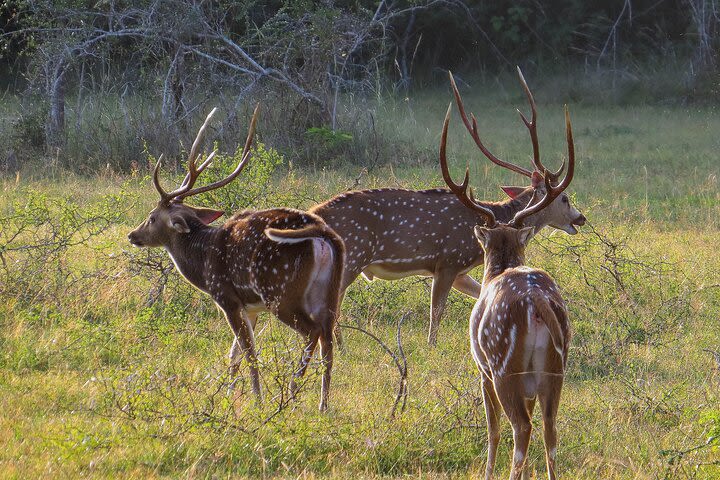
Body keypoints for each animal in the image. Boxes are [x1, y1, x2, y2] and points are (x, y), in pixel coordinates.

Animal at [126, 107, 344, 410]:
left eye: (151, 217)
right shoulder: (250, 307)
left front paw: (256, 399)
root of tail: (324, 235)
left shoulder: (226, 297)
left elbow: (248, 351)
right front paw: (229, 394)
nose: (132, 235)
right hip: (329, 292)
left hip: (281, 291)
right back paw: (323, 405)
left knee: (312, 332)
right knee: (328, 339)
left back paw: (290, 392)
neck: (202, 259)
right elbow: (235, 354)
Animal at [310, 67, 584, 344]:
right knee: (331, 306)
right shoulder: (448, 261)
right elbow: (436, 316)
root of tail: (315, 213)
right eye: (564, 198)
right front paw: (431, 346)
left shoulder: (460, 271)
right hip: (352, 256)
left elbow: (479, 295)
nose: (580, 218)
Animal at [438, 99, 572, 478]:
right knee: (550, 430)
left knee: (520, 429)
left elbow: (492, 430)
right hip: (554, 368)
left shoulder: (481, 367)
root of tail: (538, 302)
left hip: (503, 366)